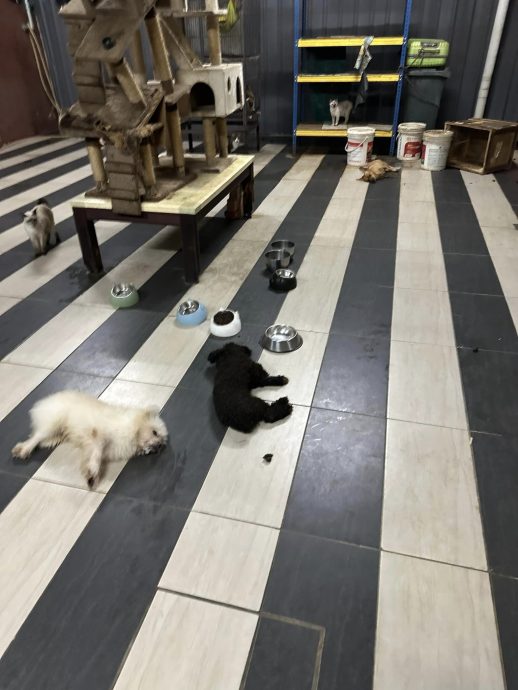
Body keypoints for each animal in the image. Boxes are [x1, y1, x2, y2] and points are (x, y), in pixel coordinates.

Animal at [11, 391, 167, 488]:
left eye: (161, 444)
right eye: (154, 432)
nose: (158, 447)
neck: (131, 429)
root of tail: (49, 399)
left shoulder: (93, 446)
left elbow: (92, 456)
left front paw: (91, 473)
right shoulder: (98, 436)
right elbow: (96, 454)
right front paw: (92, 473)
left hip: (56, 432)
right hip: (54, 422)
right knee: (36, 436)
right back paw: (23, 450)